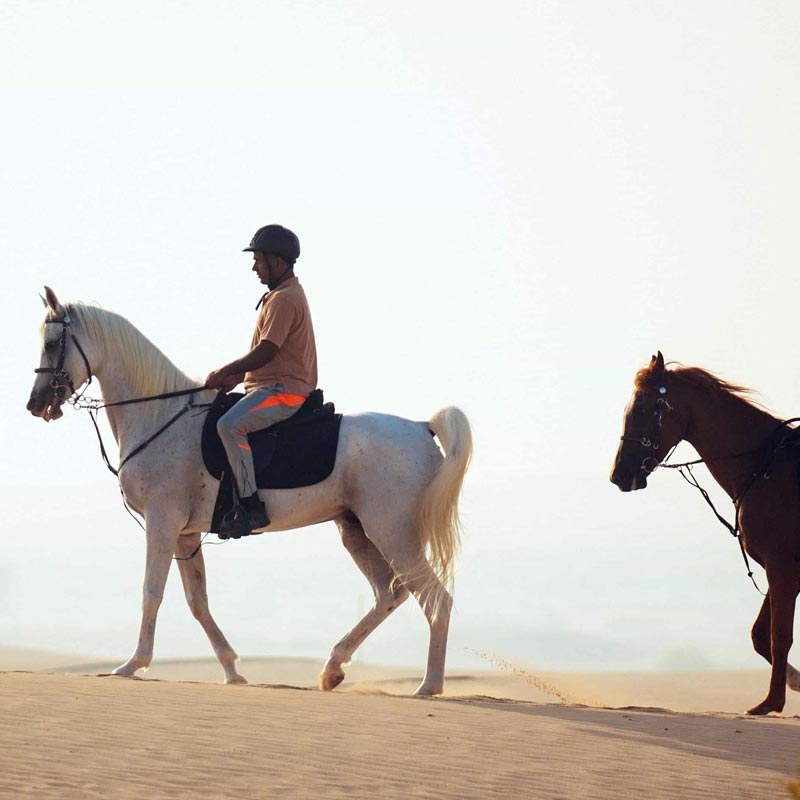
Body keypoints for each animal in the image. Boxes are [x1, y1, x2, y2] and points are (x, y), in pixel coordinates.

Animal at [26, 287, 472, 696]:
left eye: (51, 343)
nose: (35, 404)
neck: (160, 414)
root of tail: (421, 427)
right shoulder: (185, 534)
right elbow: (198, 601)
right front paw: (231, 670)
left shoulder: (162, 523)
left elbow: (152, 592)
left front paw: (133, 664)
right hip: (357, 531)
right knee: (388, 595)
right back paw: (333, 669)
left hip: (393, 533)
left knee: (435, 600)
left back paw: (429, 685)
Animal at [610, 351, 800, 715]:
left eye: (640, 408)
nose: (619, 475)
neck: (765, 467)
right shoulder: (779, 570)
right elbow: (760, 636)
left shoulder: (782, 567)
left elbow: (779, 636)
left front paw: (771, 702)